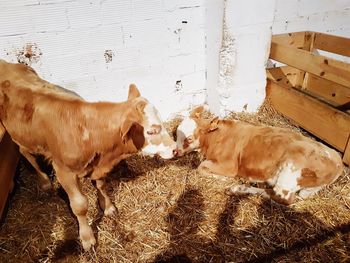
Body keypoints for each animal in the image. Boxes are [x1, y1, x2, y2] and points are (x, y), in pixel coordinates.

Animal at [176, 107, 344, 206]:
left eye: (189, 138)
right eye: (176, 132)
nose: (175, 152)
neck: (215, 137)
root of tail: (338, 162)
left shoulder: (229, 165)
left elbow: (201, 167)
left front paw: (226, 179)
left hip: (291, 170)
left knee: (283, 198)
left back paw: (238, 188)